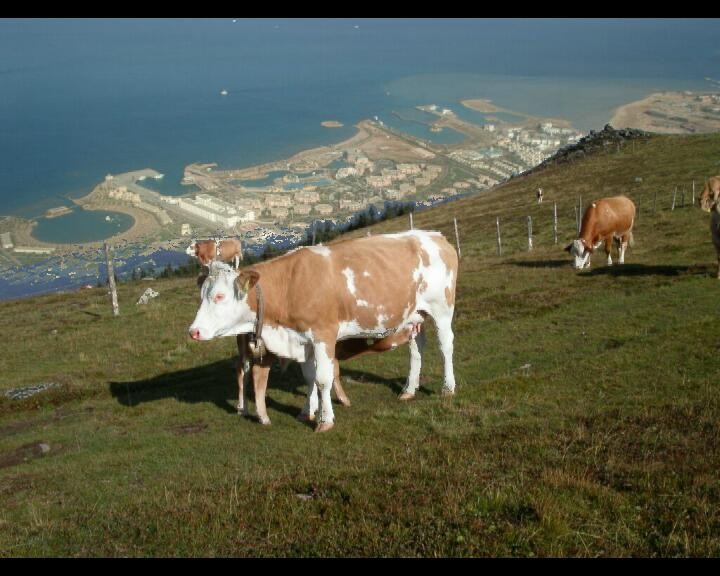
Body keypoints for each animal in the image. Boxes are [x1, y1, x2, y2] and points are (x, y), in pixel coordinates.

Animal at [188, 231, 458, 432]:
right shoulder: (303, 340)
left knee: (445, 346)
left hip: (442, 308)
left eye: (219, 296)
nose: (193, 331)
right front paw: (307, 411)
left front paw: (325, 420)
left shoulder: (323, 335)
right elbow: (309, 376)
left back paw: (448, 388)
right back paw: (409, 390)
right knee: (416, 348)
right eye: (201, 296)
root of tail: (434, 236)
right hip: (414, 314)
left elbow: (323, 378)